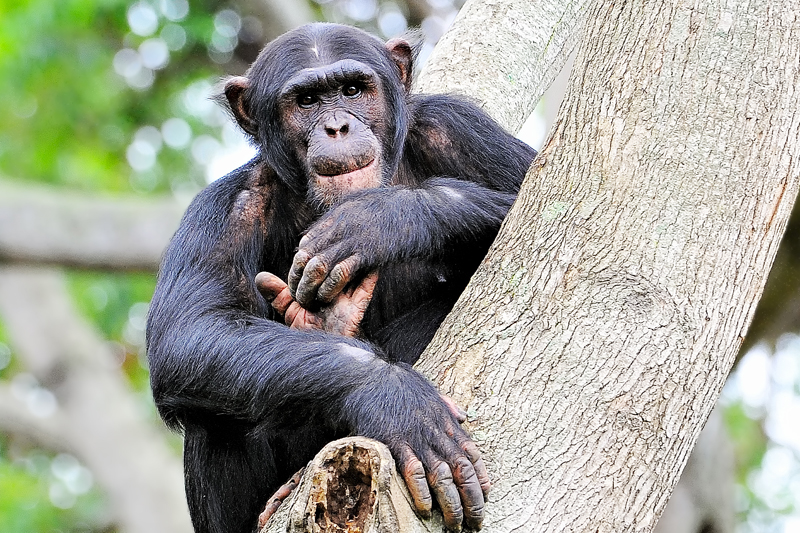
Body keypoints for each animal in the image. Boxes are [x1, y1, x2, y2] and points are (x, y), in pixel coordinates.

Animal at [148, 21, 536, 532]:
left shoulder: (458, 128)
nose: (337, 127)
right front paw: (393, 399)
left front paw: (381, 220)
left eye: (352, 90)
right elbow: (191, 328)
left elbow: (549, 193)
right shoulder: (226, 205)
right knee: (211, 414)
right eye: (307, 101)